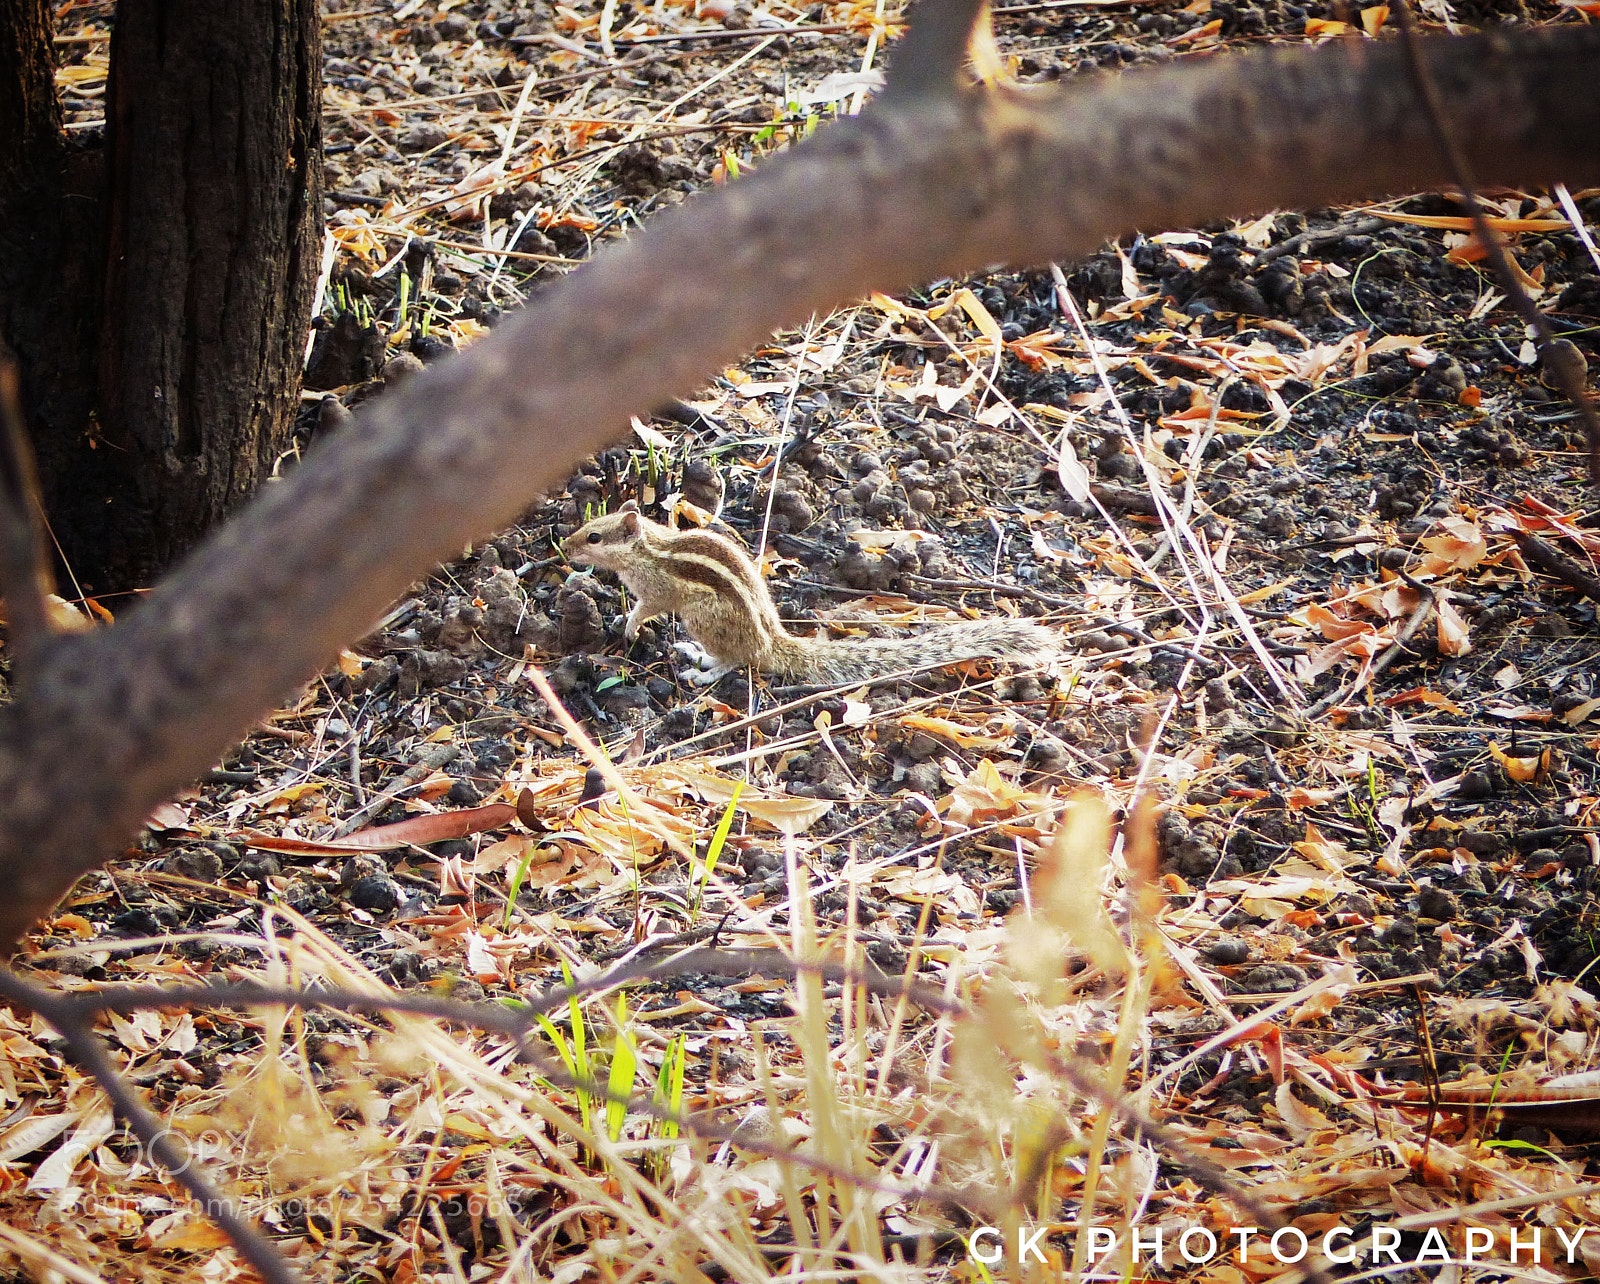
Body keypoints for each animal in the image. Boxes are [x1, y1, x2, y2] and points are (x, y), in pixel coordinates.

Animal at [562, 501, 1057, 685]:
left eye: (594, 536)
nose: (565, 547)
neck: (648, 547)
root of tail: (773, 640)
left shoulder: (658, 590)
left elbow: (646, 607)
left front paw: (628, 625)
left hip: (704, 618)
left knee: (739, 660)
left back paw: (703, 668)